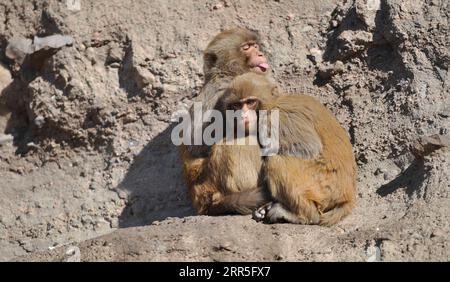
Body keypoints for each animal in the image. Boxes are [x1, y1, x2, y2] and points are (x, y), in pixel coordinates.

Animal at [178, 28, 272, 215]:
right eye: (246, 48)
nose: (261, 53)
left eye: (255, 45)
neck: (228, 73)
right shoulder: (224, 93)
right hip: (211, 182)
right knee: (240, 140)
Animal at [222, 71, 358, 226]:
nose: (241, 115)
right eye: (237, 105)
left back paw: (303, 215)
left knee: (276, 162)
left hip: (321, 186)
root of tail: (348, 195)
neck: (272, 104)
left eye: (250, 102)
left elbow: (308, 147)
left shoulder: (276, 118)